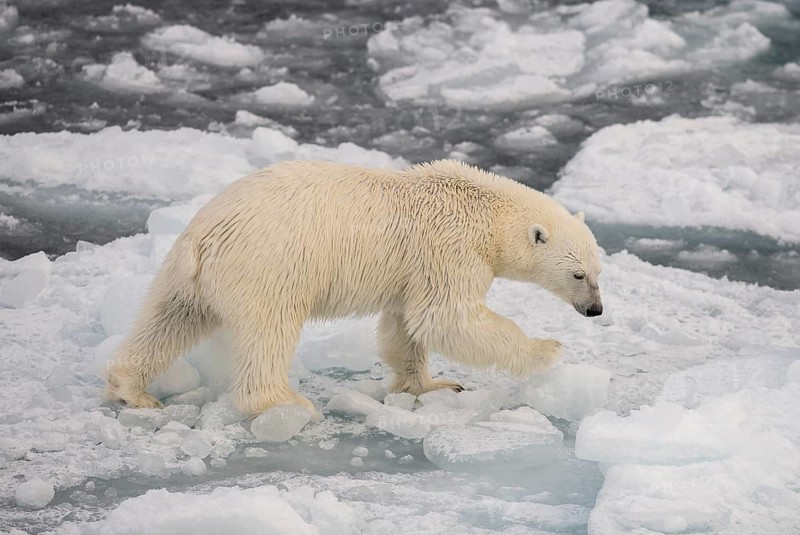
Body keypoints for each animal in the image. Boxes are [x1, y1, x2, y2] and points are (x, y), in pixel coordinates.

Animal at [105, 159, 603, 417]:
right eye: (578, 275)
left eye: (601, 270)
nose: (595, 310)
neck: (486, 210)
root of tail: (207, 233)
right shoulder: (450, 248)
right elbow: (447, 317)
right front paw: (548, 350)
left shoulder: (414, 267)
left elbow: (406, 325)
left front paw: (433, 385)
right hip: (270, 264)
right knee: (270, 330)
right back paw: (286, 403)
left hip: (187, 273)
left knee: (170, 318)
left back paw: (131, 388)